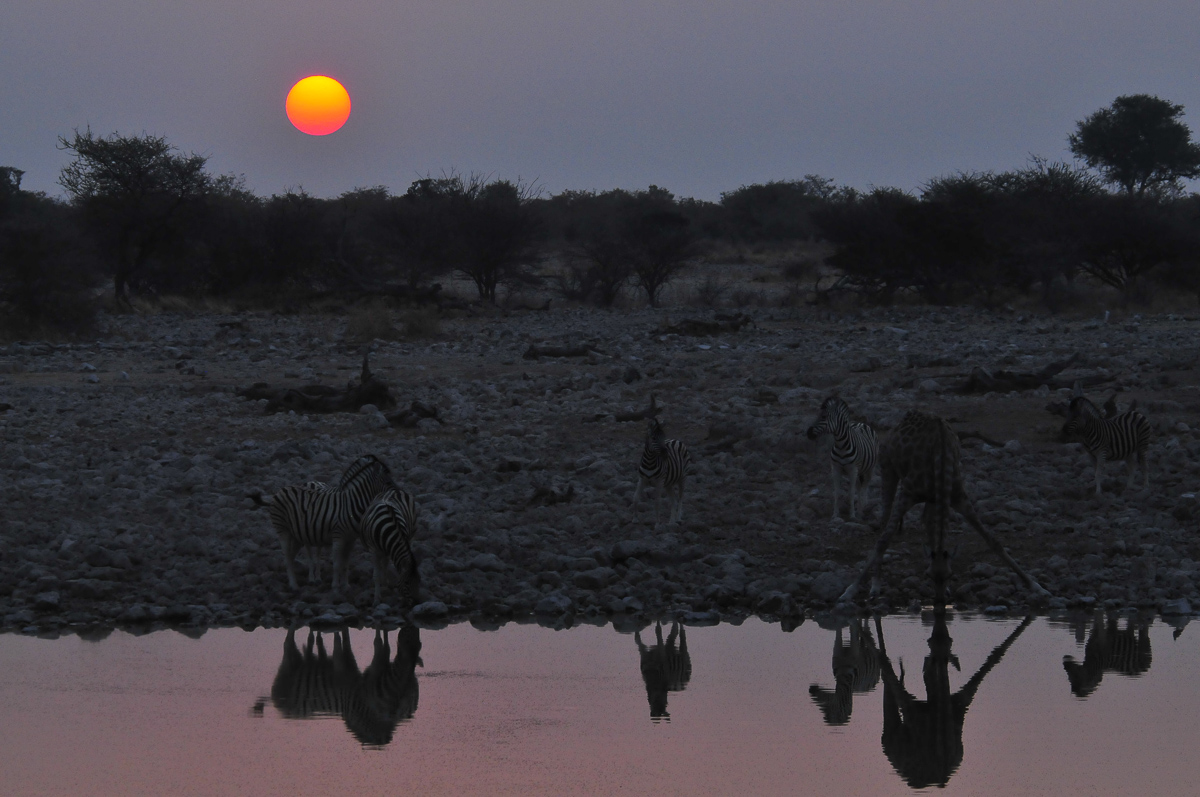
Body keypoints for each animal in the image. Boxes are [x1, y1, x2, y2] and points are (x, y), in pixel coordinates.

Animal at [251, 454, 397, 590]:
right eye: (388, 482)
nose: (395, 495)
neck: (350, 504)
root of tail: (281, 490)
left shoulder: (351, 539)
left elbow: (346, 563)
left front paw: (346, 585)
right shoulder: (338, 536)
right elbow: (337, 563)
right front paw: (335, 586)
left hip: (297, 534)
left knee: (292, 557)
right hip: (283, 530)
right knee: (287, 557)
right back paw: (294, 585)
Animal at [837, 410, 1050, 607]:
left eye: (951, 574)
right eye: (928, 575)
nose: (939, 601)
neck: (941, 458)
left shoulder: (958, 497)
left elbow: (993, 541)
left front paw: (1036, 586)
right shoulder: (908, 493)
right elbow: (883, 540)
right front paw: (850, 591)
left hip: (932, 498)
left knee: (927, 522)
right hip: (888, 468)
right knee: (884, 522)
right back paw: (875, 585)